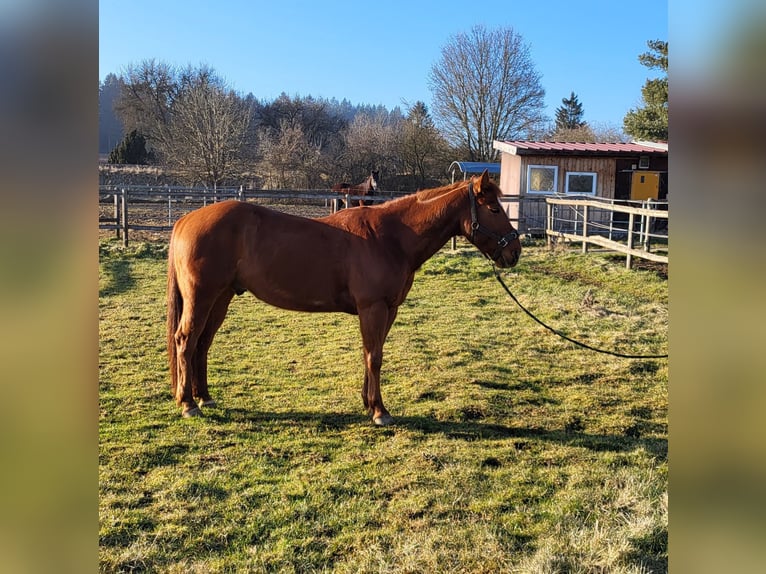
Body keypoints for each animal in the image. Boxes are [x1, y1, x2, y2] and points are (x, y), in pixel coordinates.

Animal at [168, 169, 520, 426]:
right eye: (493, 208)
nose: (514, 252)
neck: (391, 237)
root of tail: (185, 220)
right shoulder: (372, 308)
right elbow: (374, 357)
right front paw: (380, 411)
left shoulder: (388, 310)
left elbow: (372, 353)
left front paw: (368, 403)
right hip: (202, 297)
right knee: (186, 340)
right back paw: (188, 404)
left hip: (221, 298)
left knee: (202, 343)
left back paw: (204, 397)